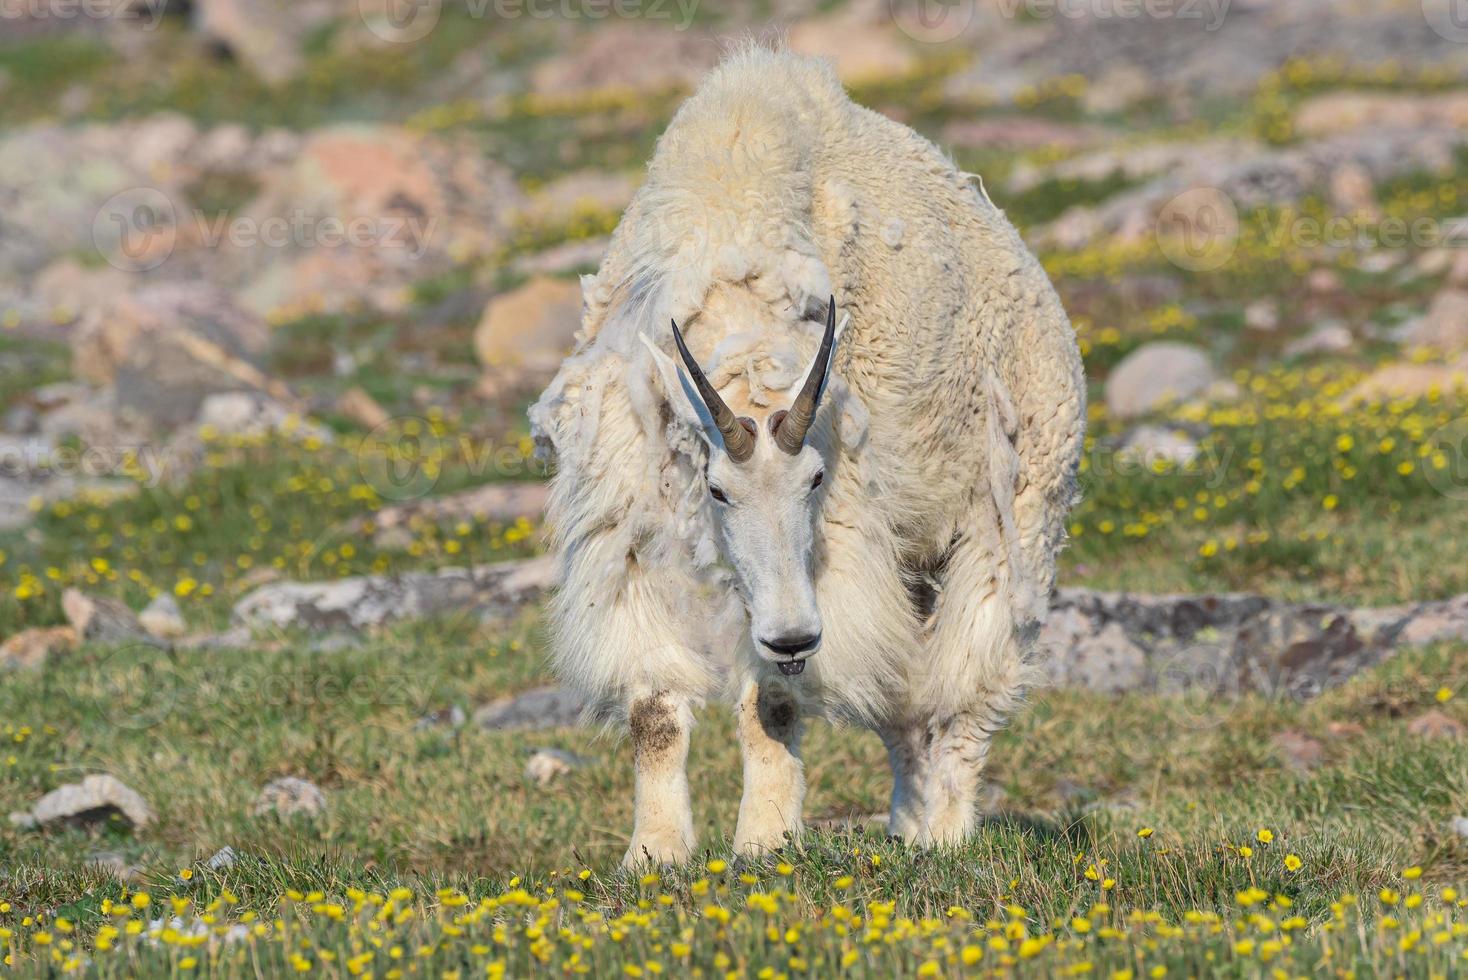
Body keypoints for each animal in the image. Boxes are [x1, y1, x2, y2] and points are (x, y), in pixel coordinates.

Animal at [534, 47, 1086, 862]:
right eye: (716, 490)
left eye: (816, 480)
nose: (792, 635)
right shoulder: (629, 518)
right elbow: (654, 709)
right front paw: (653, 854)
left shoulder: (838, 547)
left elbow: (773, 702)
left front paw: (764, 841)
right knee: (905, 702)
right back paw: (906, 827)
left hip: (1011, 510)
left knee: (966, 690)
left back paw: (943, 838)